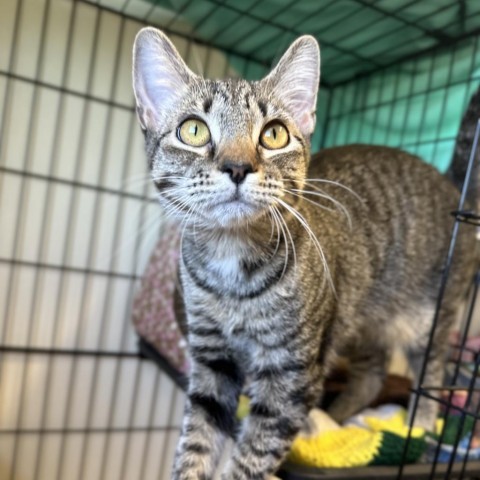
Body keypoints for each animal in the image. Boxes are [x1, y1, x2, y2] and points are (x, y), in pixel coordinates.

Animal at [131, 27, 476, 480]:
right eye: (193, 130)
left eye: (274, 134)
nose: (238, 167)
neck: (231, 268)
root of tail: (453, 185)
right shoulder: (212, 362)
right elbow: (198, 441)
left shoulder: (290, 376)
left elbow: (252, 456)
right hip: (360, 318)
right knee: (373, 371)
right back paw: (343, 417)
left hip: (431, 313)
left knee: (431, 369)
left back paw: (417, 422)